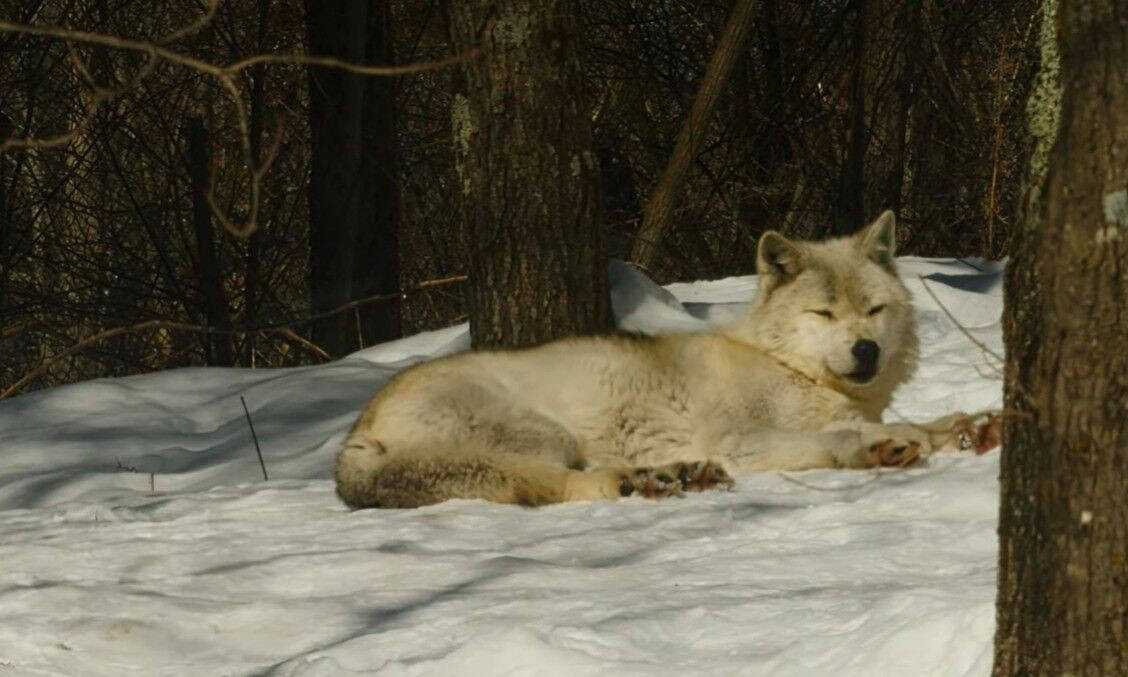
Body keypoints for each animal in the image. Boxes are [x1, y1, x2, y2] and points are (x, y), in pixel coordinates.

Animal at [336, 211, 986, 509]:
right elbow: (838, 438)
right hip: (545, 437)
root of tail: (356, 435)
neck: (791, 370)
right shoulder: (741, 440)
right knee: (555, 486)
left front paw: (969, 428)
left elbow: (926, 423)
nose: (866, 349)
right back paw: (642, 480)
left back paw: (675, 476)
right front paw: (882, 445)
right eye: (825, 314)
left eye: (874, 309)